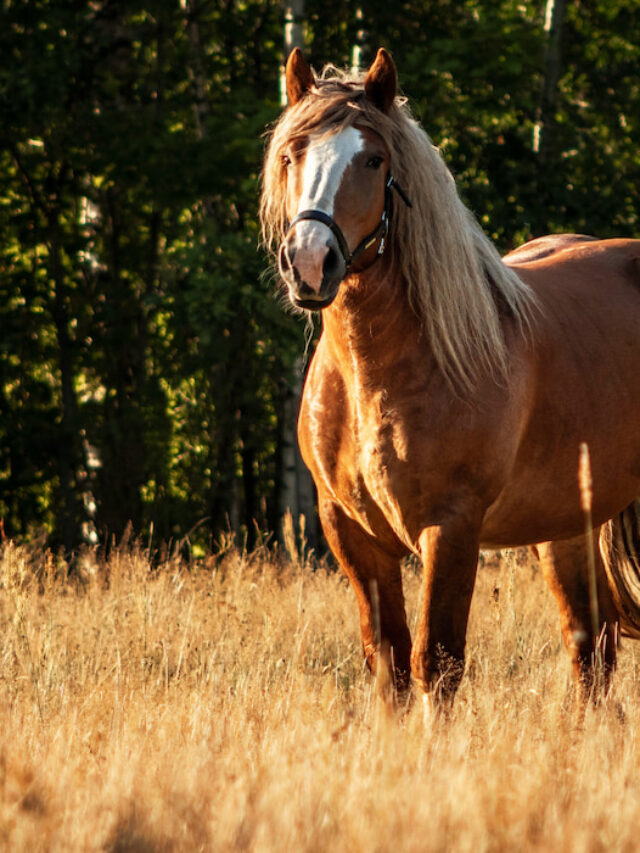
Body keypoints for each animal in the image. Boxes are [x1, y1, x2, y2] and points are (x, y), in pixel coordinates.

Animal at [260, 47, 640, 708]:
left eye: (373, 159)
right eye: (291, 154)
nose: (309, 262)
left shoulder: (452, 527)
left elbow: (437, 664)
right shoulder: (352, 533)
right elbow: (387, 661)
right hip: (569, 524)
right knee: (590, 648)